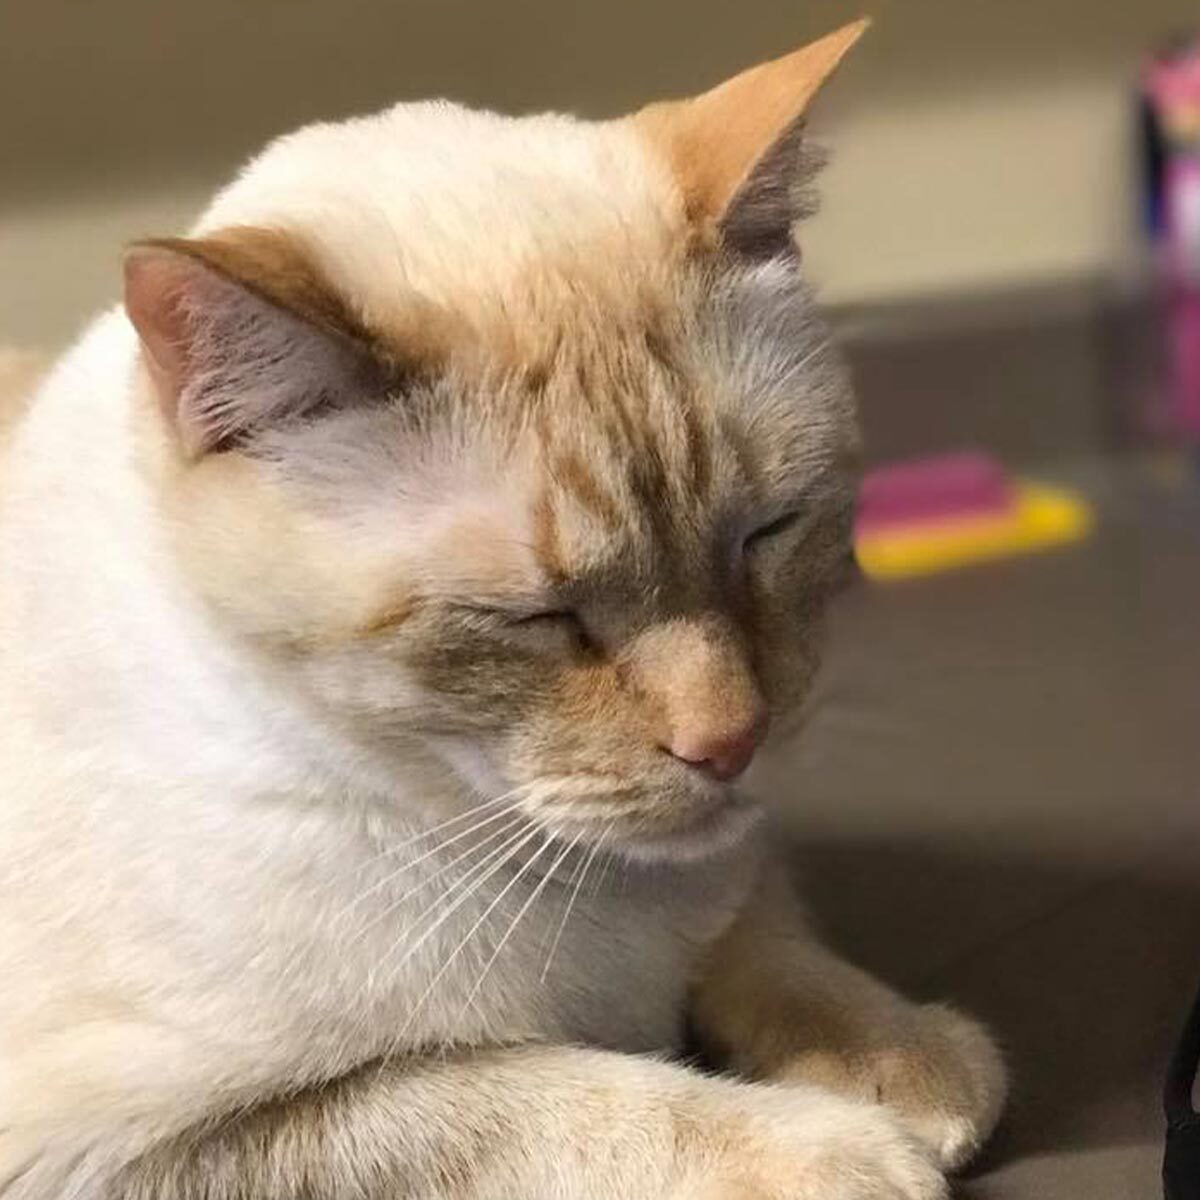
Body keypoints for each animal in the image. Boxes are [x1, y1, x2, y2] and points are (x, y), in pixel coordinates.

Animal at [0, 21, 1003, 1200]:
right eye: (542, 618)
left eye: (765, 533)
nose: (731, 742)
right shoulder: (148, 1144)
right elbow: (572, 1093)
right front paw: (839, 1150)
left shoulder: (725, 861)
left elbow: (759, 927)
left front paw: (901, 1056)